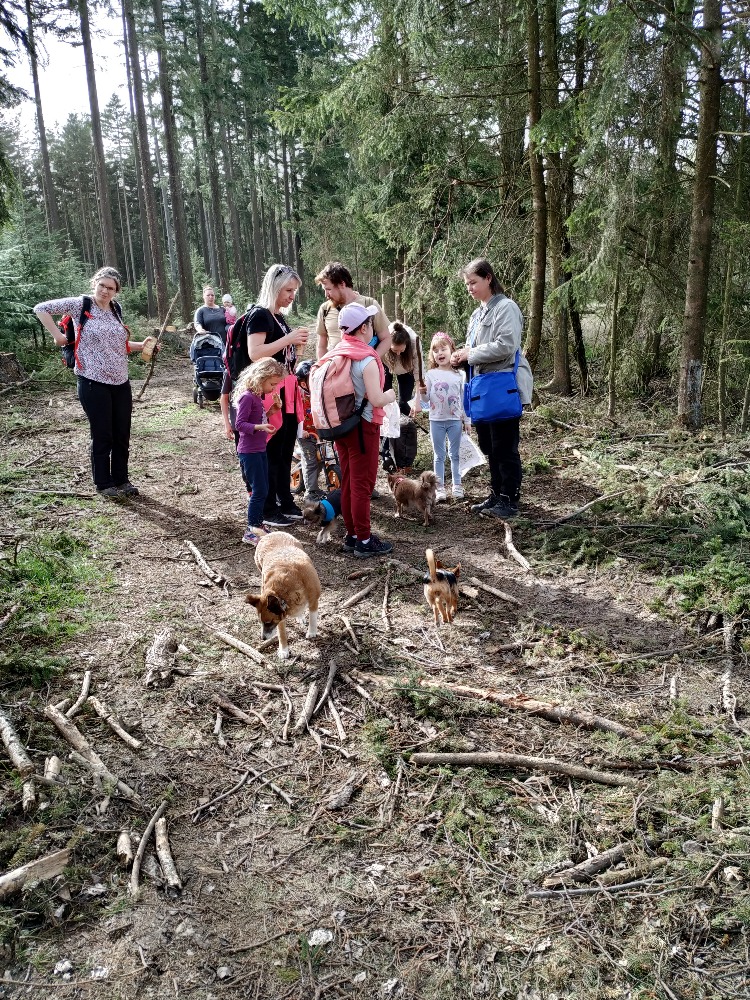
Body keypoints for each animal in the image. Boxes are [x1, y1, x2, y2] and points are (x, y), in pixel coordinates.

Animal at [248, 528, 322, 660]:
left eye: (268, 623)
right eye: (261, 622)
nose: (263, 638)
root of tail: (270, 534)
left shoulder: (314, 601)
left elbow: (313, 619)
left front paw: (312, 632)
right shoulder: (280, 617)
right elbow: (282, 634)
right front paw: (283, 650)